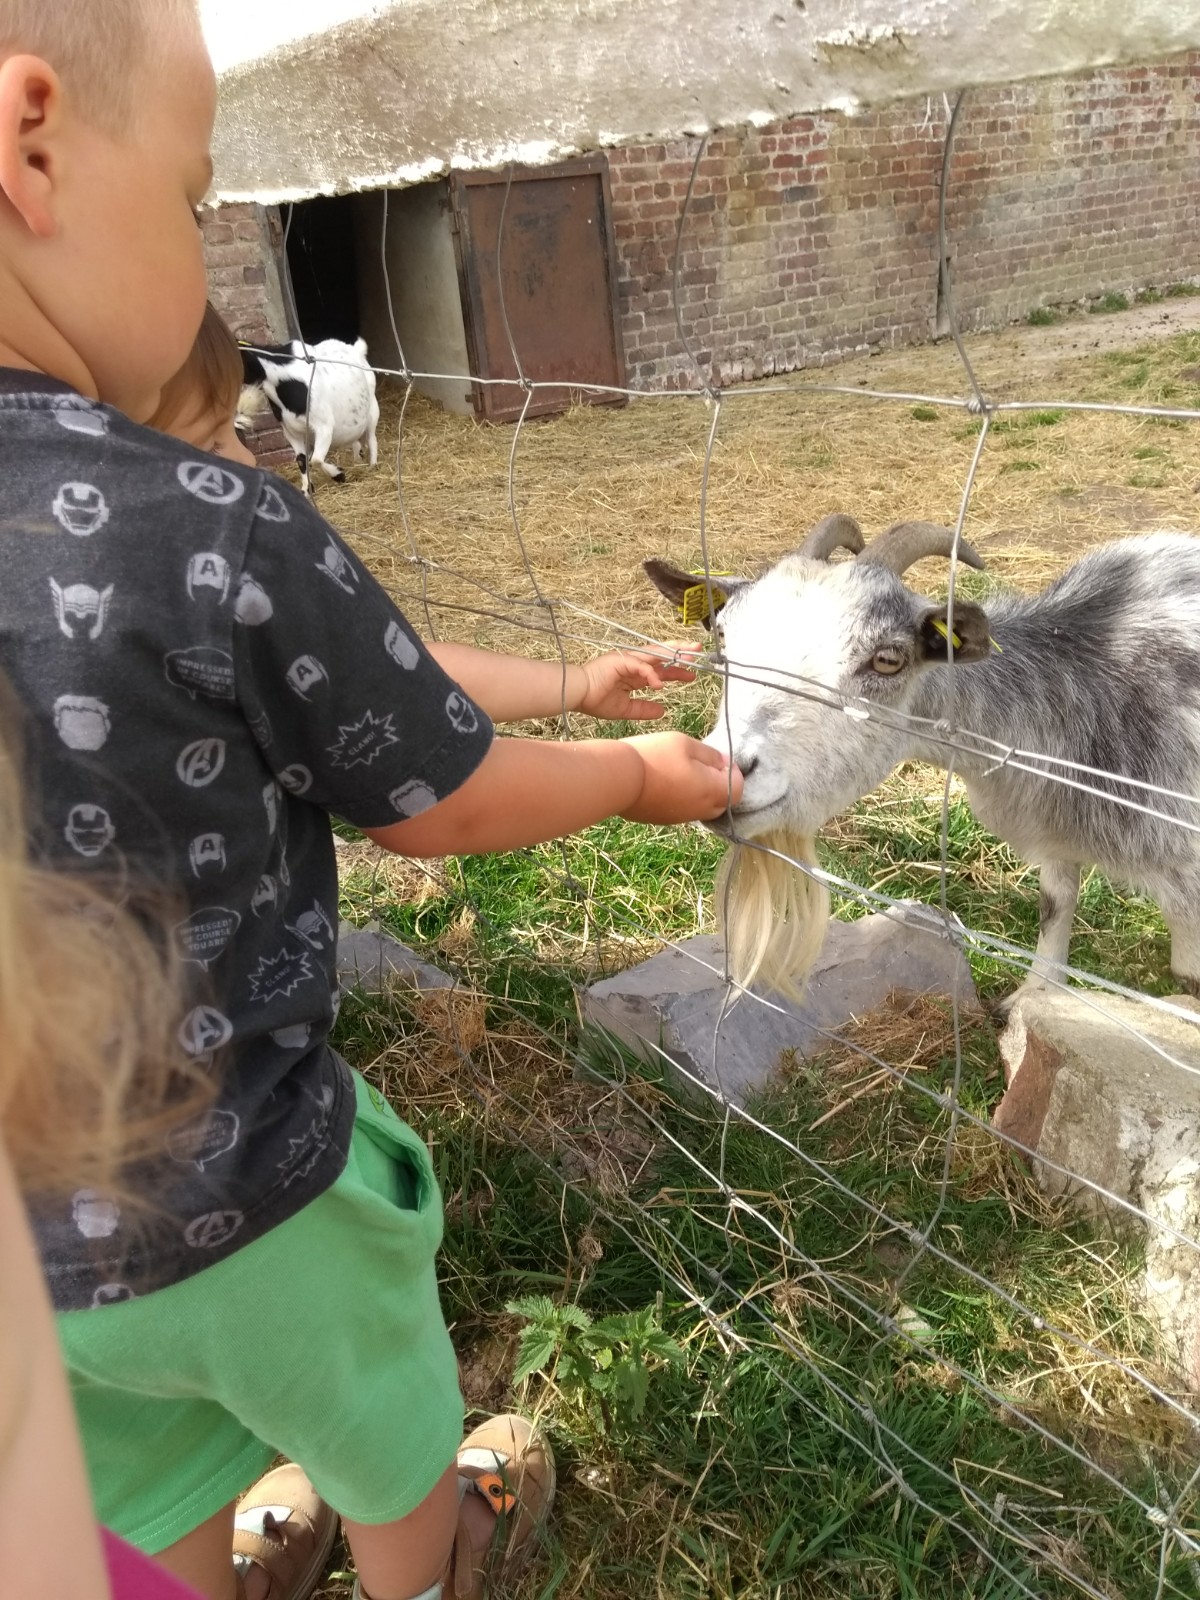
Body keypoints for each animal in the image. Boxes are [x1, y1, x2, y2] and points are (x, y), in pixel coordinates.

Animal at [241, 334, 380, 489]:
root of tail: (356, 348)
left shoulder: (324, 426)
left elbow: (316, 459)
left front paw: (338, 475)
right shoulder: (290, 430)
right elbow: (301, 459)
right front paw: (307, 489)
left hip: (373, 408)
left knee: (371, 438)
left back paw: (372, 465)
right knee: (354, 440)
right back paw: (357, 459)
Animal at [652, 518, 1200, 998]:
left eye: (888, 660)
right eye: (724, 637)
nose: (726, 772)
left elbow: (1187, 975)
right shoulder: (1056, 829)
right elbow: (1055, 903)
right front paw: (1036, 993)